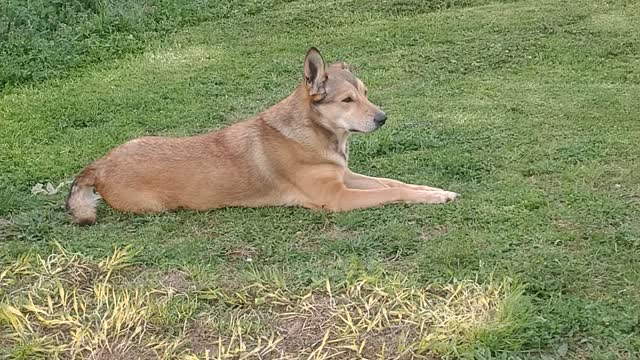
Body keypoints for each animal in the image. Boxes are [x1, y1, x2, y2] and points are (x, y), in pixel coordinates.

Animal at [66, 46, 460, 224]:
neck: (313, 133)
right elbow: (390, 192)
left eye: (365, 92)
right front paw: (428, 197)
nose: (383, 118)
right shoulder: (336, 198)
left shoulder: (345, 177)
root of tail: (99, 165)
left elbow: (393, 182)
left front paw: (433, 191)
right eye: (347, 100)